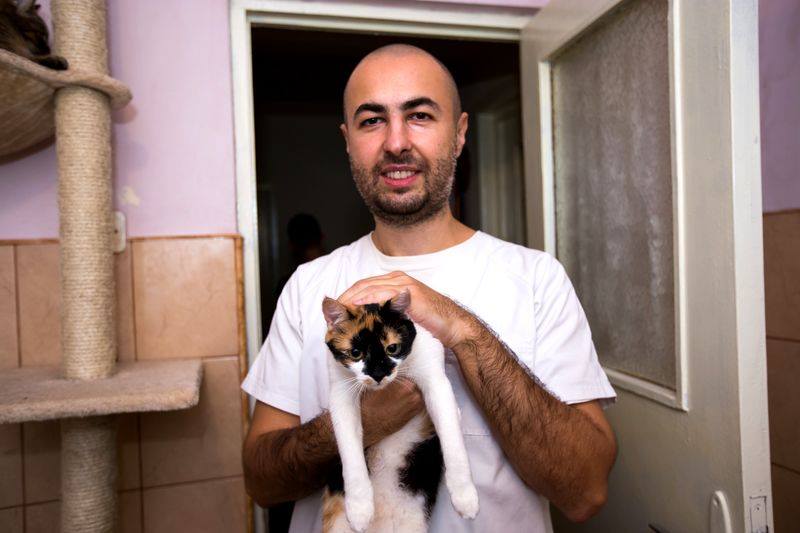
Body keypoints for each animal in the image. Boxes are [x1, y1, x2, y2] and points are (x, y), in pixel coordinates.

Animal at [322, 291, 479, 533]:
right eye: (356, 353)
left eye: (392, 348)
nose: (378, 374)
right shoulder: (340, 393)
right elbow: (349, 449)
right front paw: (359, 508)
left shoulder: (434, 378)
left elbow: (452, 438)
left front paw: (465, 496)